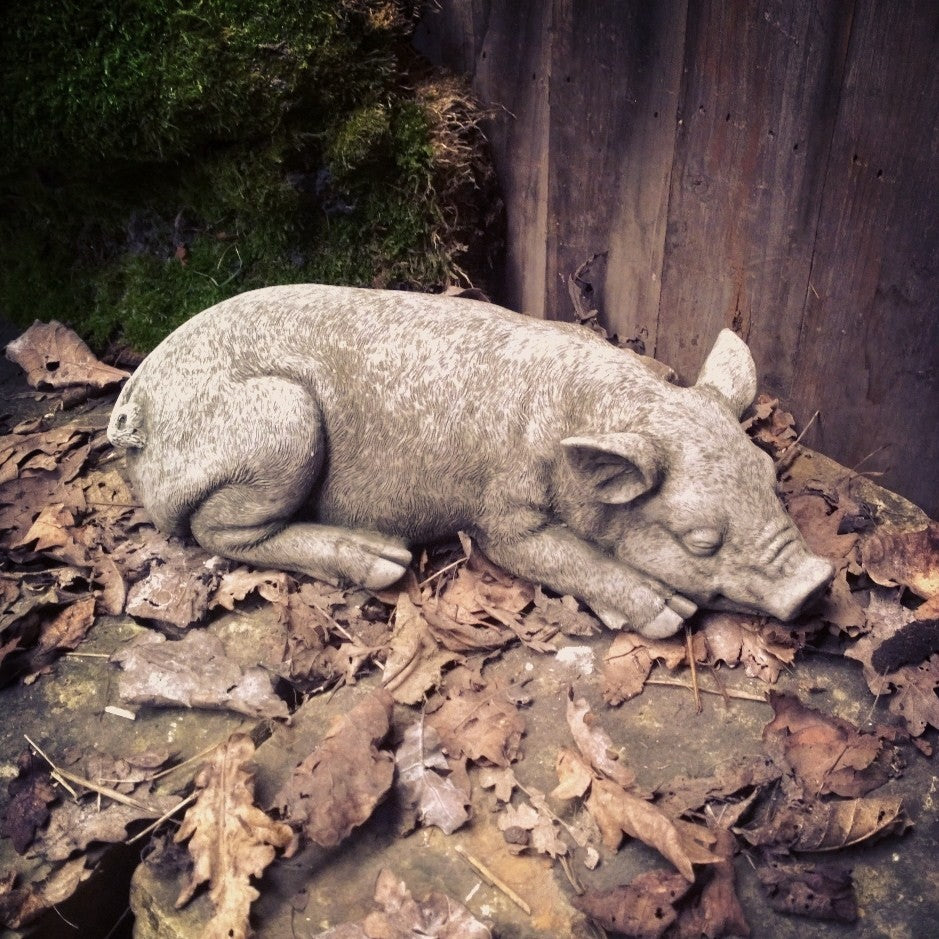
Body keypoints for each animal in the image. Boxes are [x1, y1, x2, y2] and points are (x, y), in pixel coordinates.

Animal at [107, 284, 833, 638]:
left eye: (770, 479)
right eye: (700, 540)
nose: (816, 582)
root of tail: (137, 403)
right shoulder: (502, 509)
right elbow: (539, 551)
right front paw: (669, 616)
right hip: (278, 422)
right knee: (217, 532)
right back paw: (384, 559)